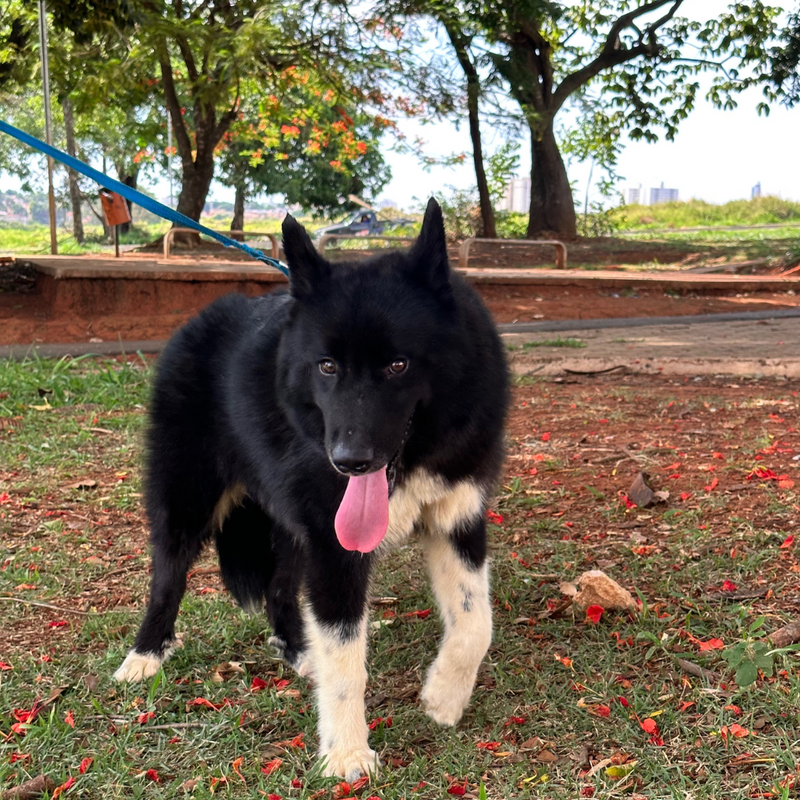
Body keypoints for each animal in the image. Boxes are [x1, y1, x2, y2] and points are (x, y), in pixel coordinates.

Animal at [114, 200, 506, 780]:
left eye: (398, 364)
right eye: (327, 366)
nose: (348, 461)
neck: (413, 457)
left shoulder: (456, 520)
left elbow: (476, 624)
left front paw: (444, 697)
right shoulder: (335, 547)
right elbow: (347, 661)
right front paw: (346, 753)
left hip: (291, 525)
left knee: (279, 592)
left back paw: (302, 655)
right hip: (187, 500)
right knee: (168, 579)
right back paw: (144, 657)